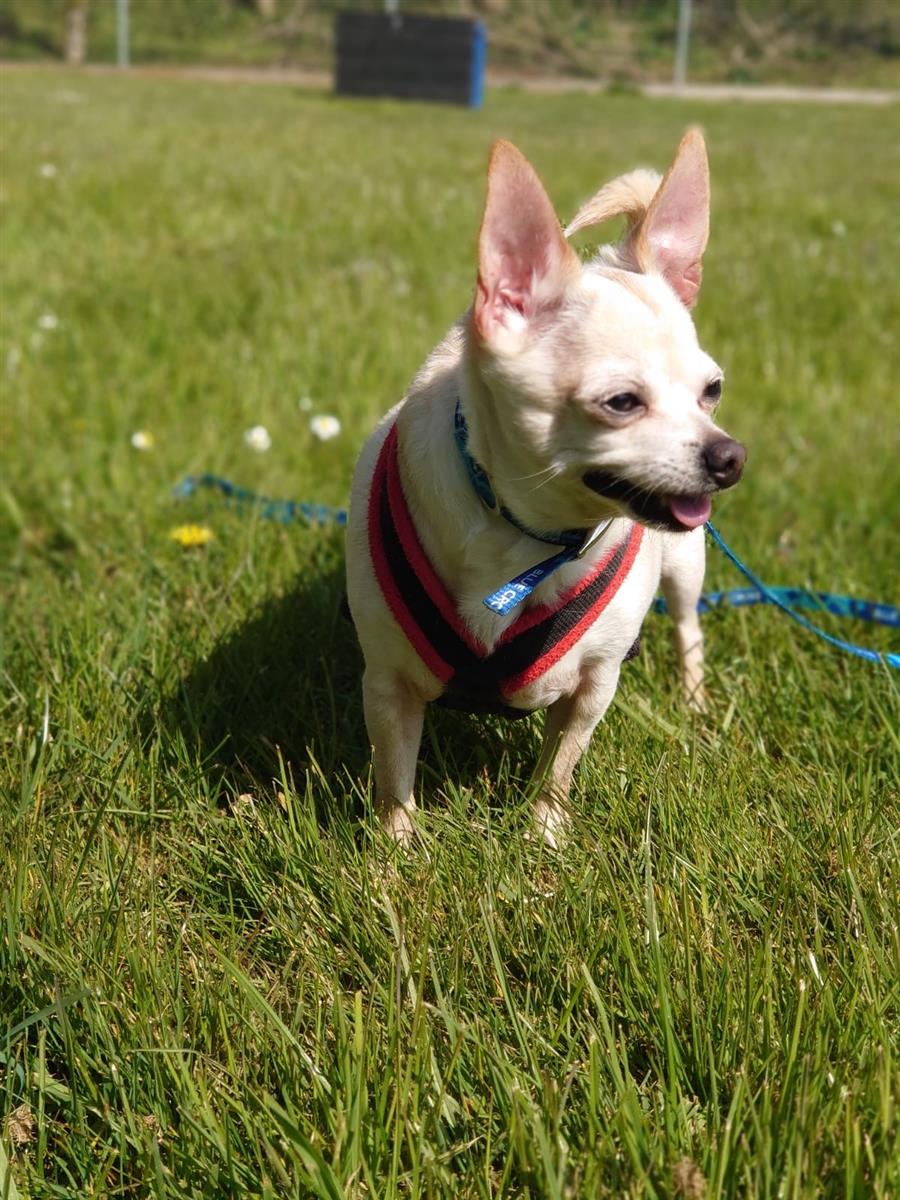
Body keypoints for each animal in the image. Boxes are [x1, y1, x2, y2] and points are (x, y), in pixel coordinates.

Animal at [345, 131, 748, 844]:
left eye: (712, 391)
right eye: (621, 403)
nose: (730, 456)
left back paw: (694, 700)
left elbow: (558, 767)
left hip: (687, 566)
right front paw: (396, 856)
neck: (528, 534)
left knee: (688, 625)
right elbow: (394, 779)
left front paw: (543, 838)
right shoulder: (388, 686)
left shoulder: (593, 686)